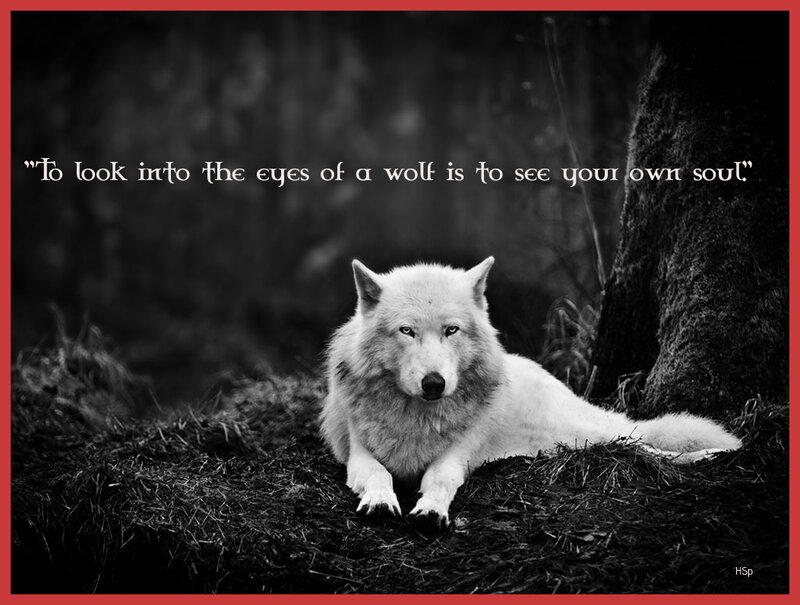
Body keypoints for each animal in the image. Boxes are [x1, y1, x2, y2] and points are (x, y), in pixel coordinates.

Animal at [320, 257, 742, 532]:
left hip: (590, 435)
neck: (417, 418)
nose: (434, 383)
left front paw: (432, 511)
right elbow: (378, 473)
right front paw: (380, 501)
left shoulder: (457, 456)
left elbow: (440, 480)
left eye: (451, 330)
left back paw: (714, 453)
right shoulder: (358, 454)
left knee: (644, 445)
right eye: (406, 331)